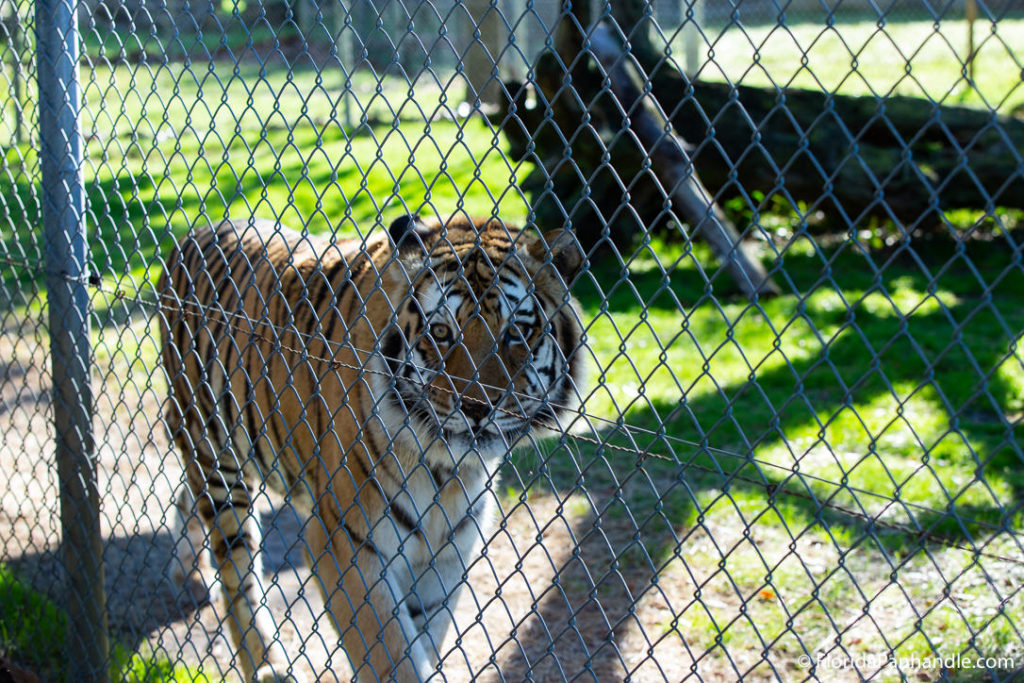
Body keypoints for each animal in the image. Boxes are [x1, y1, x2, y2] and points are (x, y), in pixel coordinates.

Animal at [157, 215, 585, 683]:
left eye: (517, 332)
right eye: (440, 332)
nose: (476, 406)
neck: (447, 468)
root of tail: (191, 234)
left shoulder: (447, 553)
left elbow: (422, 639)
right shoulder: (346, 543)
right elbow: (393, 656)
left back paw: (186, 571)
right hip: (214, 450)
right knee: (238, 571)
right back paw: (266, 664)